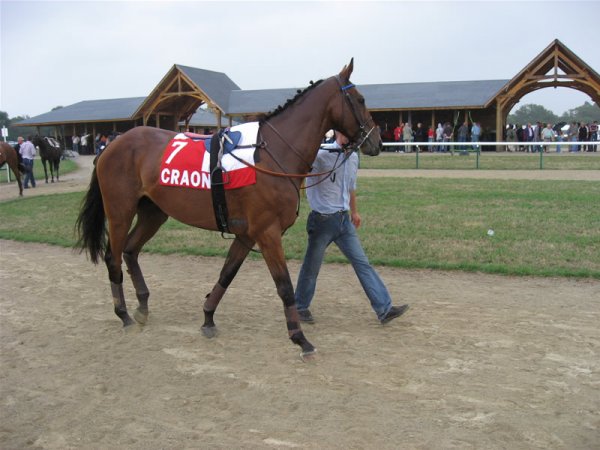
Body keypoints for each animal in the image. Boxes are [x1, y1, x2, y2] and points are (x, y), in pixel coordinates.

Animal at [77, 59, 382, 356]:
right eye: (361, 99)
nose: (376, 141)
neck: (271, 155)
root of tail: (113, 144)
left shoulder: (247, 234)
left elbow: (227, 273)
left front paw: (208, 318)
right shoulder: (267, 232)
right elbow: (284, 286)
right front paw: (299, 338)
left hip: (153, 212)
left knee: (130, 250)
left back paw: (142, 306)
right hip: (120, 212)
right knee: (113, 257)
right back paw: (123, 314)